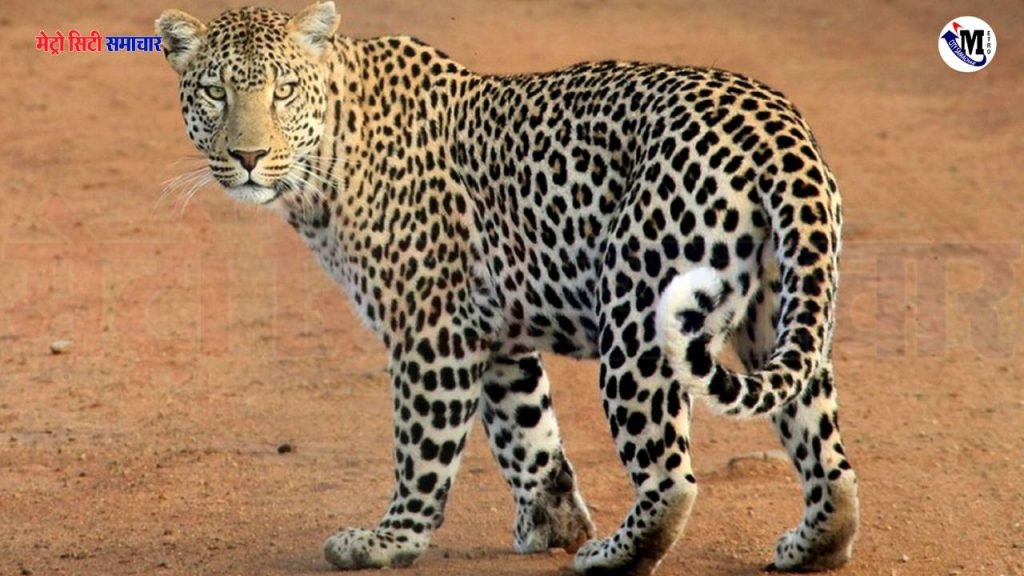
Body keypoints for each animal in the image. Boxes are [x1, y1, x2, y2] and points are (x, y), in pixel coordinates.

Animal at [155, 2, 860, 574]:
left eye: (283, 92)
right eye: (215, 92)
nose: (248, 157)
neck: (329, 155)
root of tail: (777, 128)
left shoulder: (431, 329)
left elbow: (423, 448)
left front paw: (390, 541)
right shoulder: (493, 332)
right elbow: (528, 433)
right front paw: (553, 522)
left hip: (637, 317)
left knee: (670, 478)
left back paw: (611, 555)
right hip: (780, 313)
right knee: (827, 455)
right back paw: (812, 546)